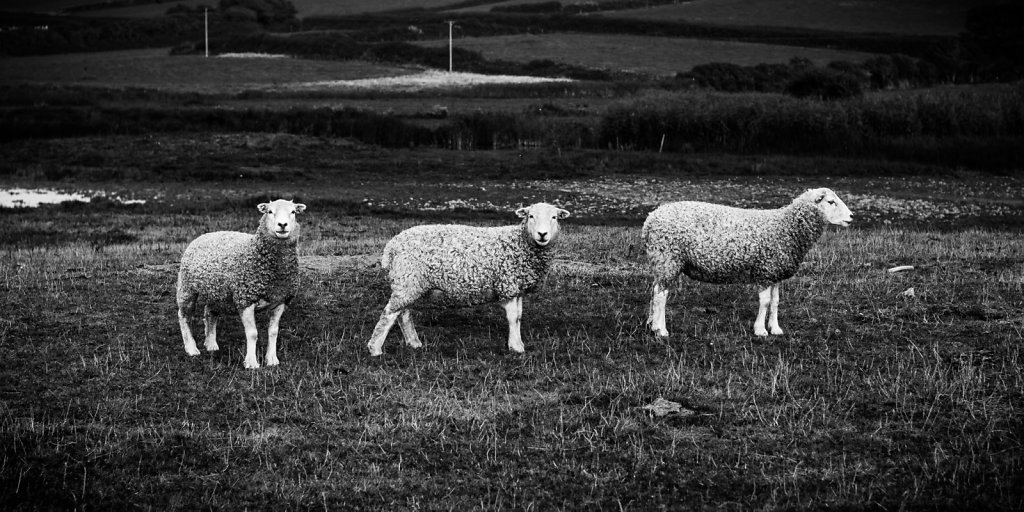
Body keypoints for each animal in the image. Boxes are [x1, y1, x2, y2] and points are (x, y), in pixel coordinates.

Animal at [176, 199, 306, 369]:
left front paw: (272, 359)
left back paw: (211, 344)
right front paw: (251, 362)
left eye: (293, 212)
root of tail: (205, 235)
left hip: (217, 291)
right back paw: (191, 348)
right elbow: (252, 333)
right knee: (184, 316)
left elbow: (273, 332)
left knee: (209, 312)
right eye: (269, 211)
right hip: (187, 287)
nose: (282, 225)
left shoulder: (280, 301)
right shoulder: (245, 299)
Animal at [367, 202, 571, 356]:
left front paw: (518, 343)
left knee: (403, 314)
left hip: (410, 282)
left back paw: (413, 343)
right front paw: (516, 347)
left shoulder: (515, 287)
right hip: (408, 279)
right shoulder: (507, 284)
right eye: (531, 216)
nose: (542, 234)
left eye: (554, 217)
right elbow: (513, 318)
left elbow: (519, 317)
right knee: (389, 314)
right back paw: (375, 349)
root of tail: (392, 245)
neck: (520, 242)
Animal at [643, 188, 852, 338]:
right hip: (668, 259)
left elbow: (775, 302)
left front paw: (775, 328)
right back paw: (661, 330)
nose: (851, 217)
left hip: (662, 262)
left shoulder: (775, 271)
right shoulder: (765, 271)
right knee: (661, 295)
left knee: (654, 291)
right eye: (831, 202)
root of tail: (650, 220)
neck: (787, 227)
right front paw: (760, 330)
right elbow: (765, 302)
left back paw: (651, 324)